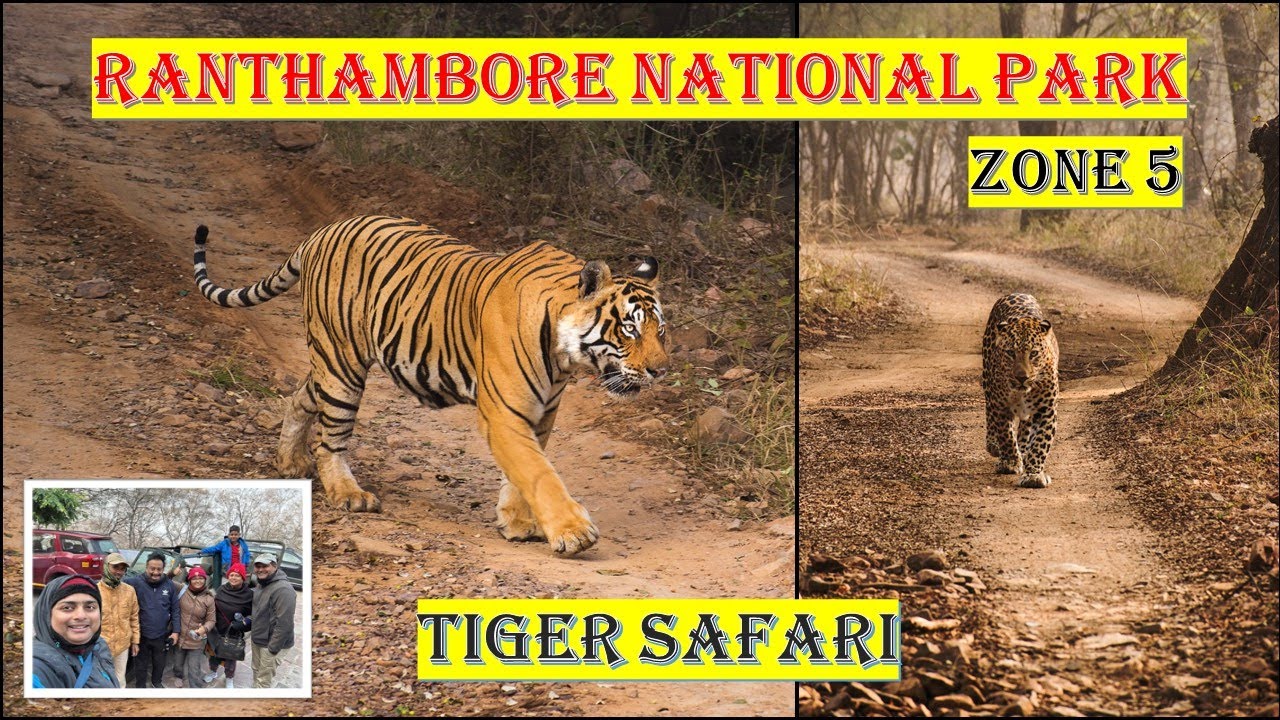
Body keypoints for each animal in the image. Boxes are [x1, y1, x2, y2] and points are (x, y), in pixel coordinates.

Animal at [193, 215, 669, 555]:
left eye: (660, 331)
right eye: (629, 329)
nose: (661, 371)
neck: (563, 357)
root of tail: (324, 231)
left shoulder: (541, 412)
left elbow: (522, 473)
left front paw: (516, 523)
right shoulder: (504, 413)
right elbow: (538, 472)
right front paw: (573, 532)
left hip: (330, 364)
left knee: (300, 397)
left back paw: (289, 462)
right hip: (343, 360)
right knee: (332, 439)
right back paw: (348, 494)